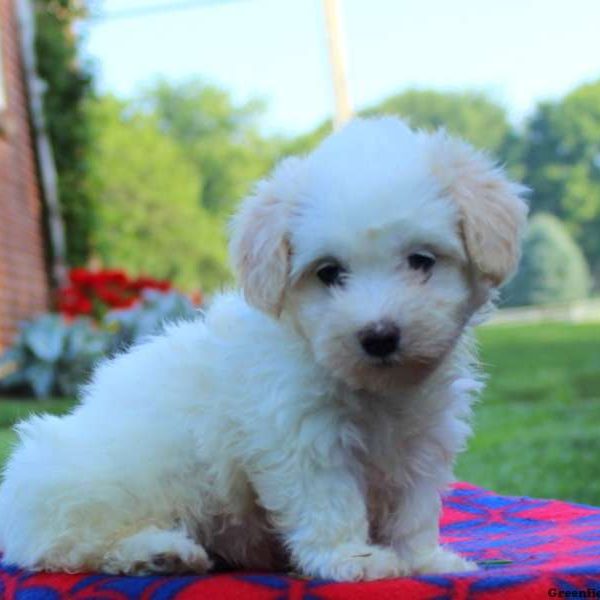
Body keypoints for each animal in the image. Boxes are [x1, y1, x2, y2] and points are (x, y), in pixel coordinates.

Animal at [0, 117, 524, 580]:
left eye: (421, 260)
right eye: (329, 272)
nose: (378, 335)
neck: (374, 389)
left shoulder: (422, 438)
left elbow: (414, 509)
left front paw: (425, 561)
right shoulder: (302, 434)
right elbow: (328, 501)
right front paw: (351, 560)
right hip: (95, 485)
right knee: (70, 546)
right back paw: (157, 552)